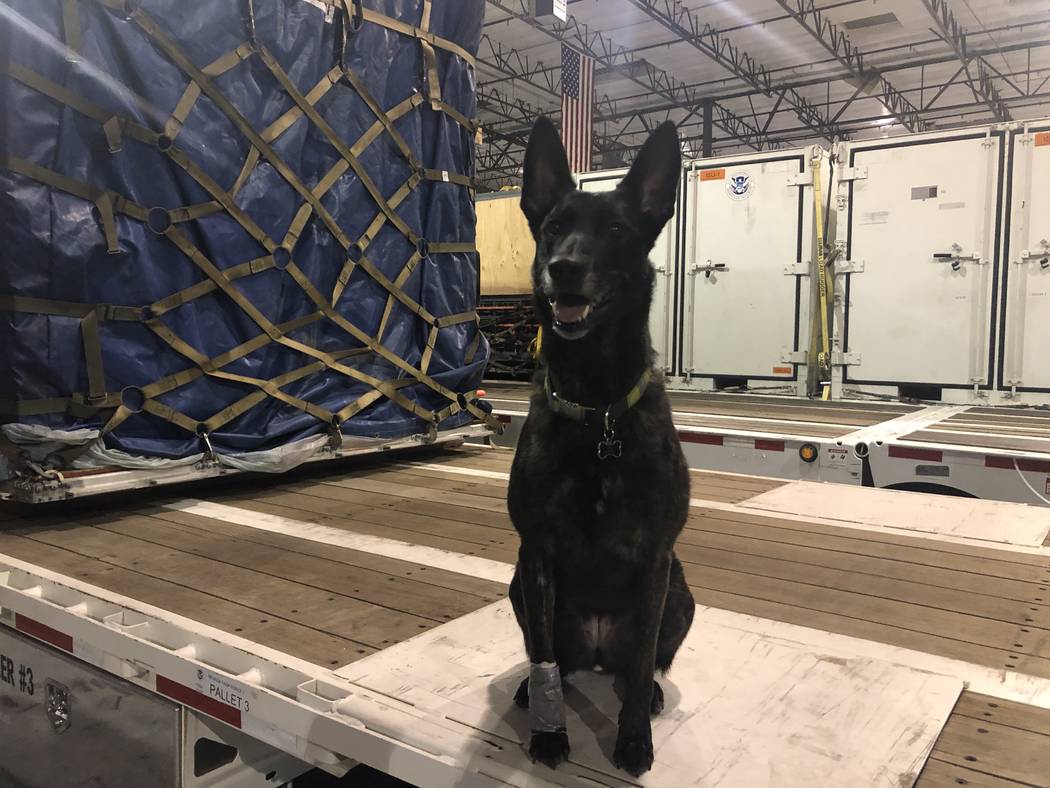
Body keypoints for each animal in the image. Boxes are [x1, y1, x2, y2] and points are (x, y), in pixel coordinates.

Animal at [506, 117, 695, 777]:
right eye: (554, 227)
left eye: (616, 231)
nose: (564, 266)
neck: (597, 411)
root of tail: (593, 649)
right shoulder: (536, 554)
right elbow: (542, 659)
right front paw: (548, 734)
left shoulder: (656, 558)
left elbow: (638, 669)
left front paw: (634, 739)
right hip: (517, 585)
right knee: (556, 661)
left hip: (681, 594)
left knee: (639, 664)